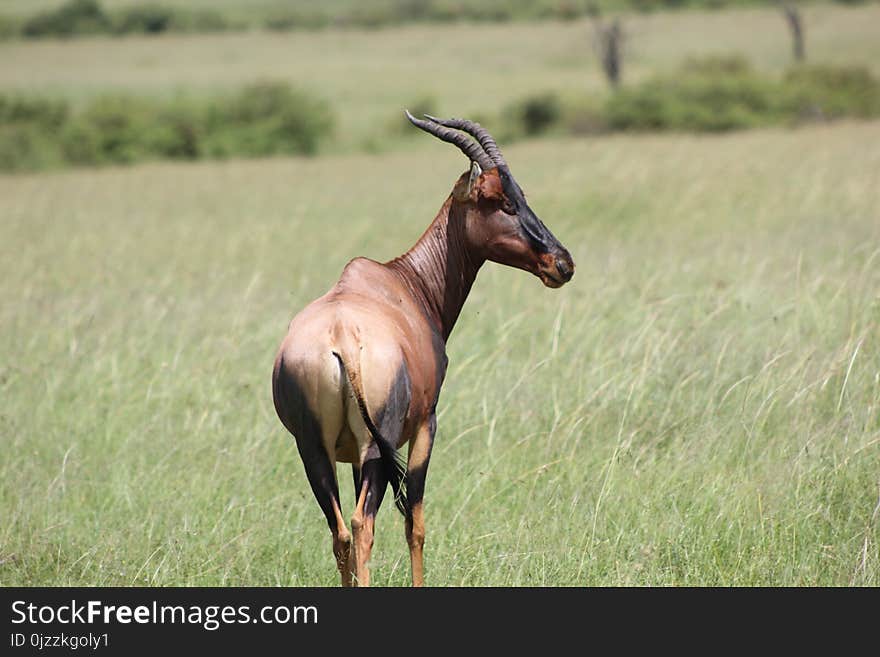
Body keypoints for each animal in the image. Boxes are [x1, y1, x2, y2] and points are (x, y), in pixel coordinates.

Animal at [276, 110, 576, 588]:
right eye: (502, 201)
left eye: (521, 195)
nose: (561, 263)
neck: (403, 282)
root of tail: (342, 338)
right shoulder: (425, 425)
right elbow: (415, 522)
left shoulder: (348, 454)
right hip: (375, 448)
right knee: (363, 525)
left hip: (314, 450)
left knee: (341, 532)